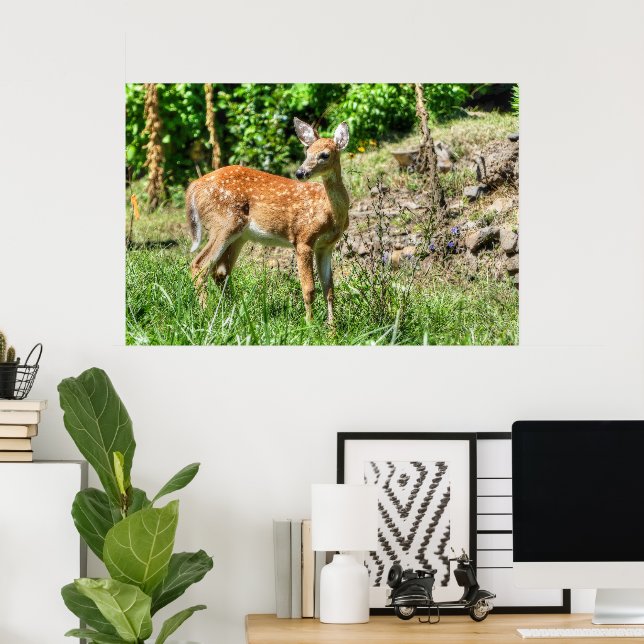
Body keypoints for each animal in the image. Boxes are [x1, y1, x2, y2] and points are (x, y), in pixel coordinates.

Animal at [186, 117, 350, 324]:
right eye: (307, 152)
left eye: (325, 155)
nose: (300, 173)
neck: (330, 212)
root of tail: (193, 187)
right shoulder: (303, 238)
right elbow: (309, 289)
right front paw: (310, 325)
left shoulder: (326, 246)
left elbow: (329, 289)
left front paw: (331, 327)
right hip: (223, 223)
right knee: (200, 265)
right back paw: (207, 314)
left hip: (239, 236)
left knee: (220, 271)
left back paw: (233, 312)